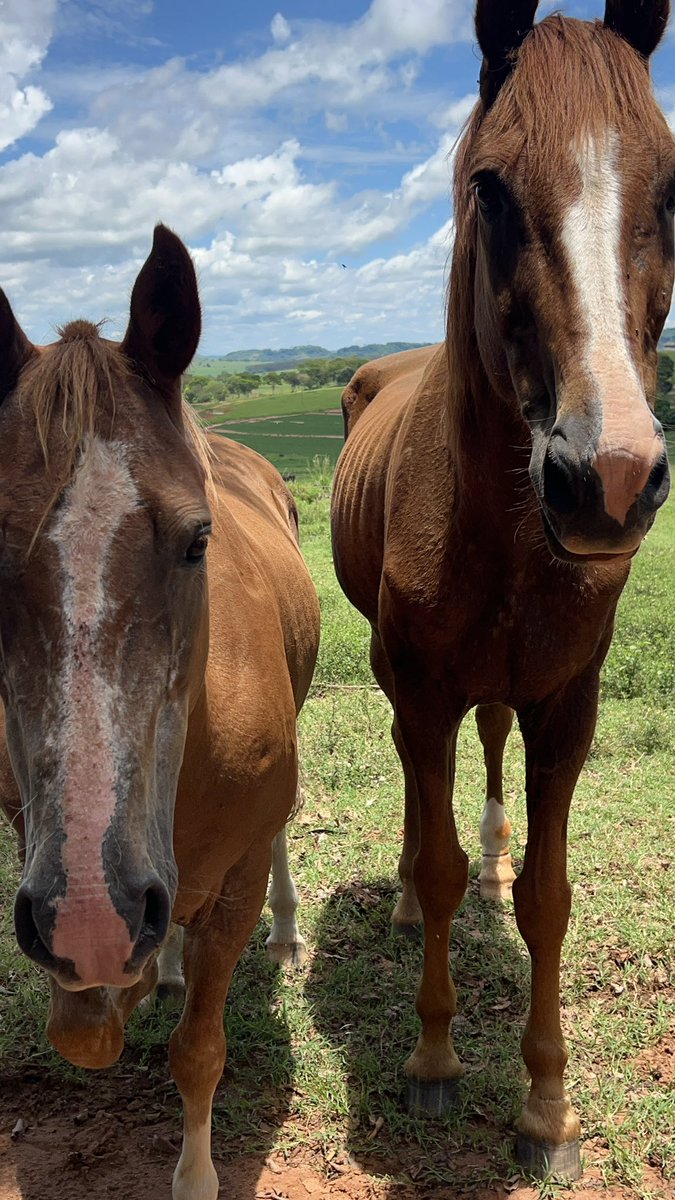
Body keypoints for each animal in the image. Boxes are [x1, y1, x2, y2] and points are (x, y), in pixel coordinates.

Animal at [0, 225, 320, 1200]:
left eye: (197, 540)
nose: (94, 917)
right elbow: (81, 1031)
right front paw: (132, 984)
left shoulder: (231, 887)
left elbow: (199, 1052)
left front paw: (196, 1173)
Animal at [331, 0, 673, 1181]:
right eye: (488, 187)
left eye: (673, 184)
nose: (606, 475)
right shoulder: (423, 688)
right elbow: (432, 860)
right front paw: (435, 1060)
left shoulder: (565, 708)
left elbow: (548, 899)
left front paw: (546, 1106)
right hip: (399, 680)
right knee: (415, 785)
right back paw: (399, 896)